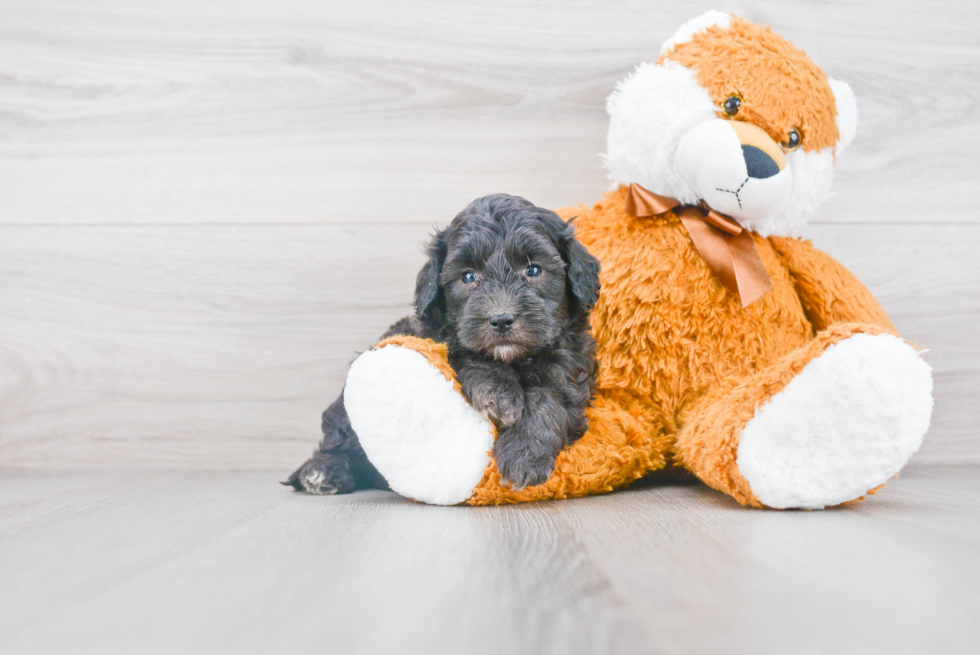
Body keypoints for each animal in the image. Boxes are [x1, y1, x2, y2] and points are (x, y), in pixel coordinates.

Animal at [286, 197, 596, 494]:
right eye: (468, 276)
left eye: (533, 269)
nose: (501, 320)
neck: (514, 359)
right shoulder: (430, 333)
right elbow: (465, 351)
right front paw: (498, 392)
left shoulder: (570, 367)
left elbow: (550, 400)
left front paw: (524, 455)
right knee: (341, 439)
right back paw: (323, 471)